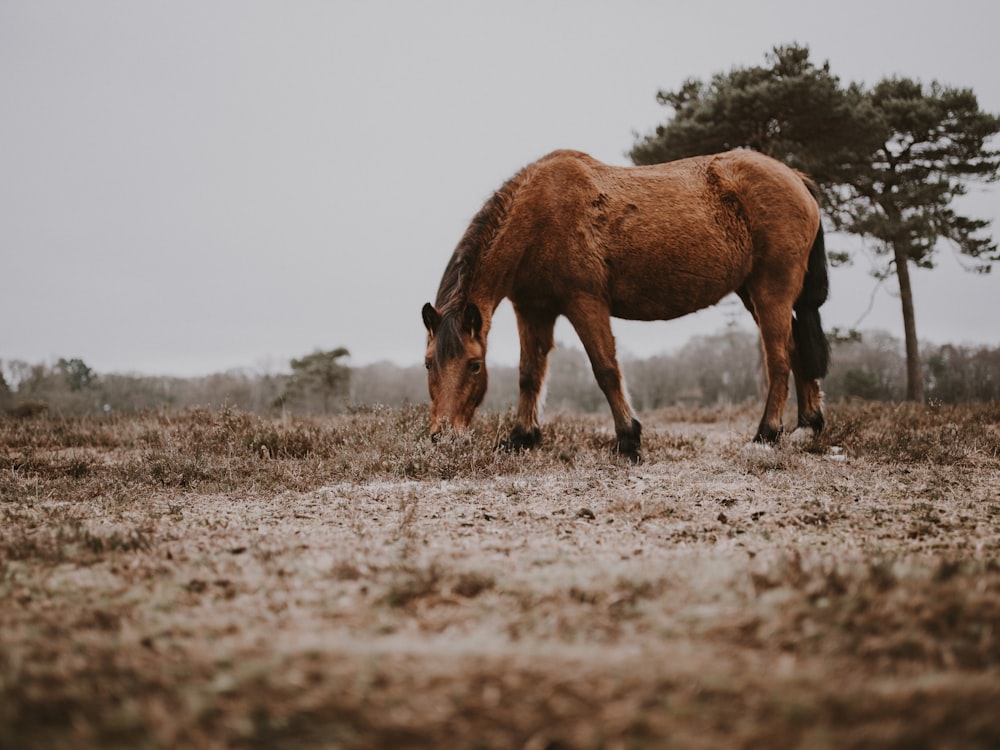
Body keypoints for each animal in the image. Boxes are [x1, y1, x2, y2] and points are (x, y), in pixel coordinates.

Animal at [420, 149, 828, 462]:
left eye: (474, 365)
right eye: (428, 364)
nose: (443, 436)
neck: (539, 215)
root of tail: (794, 177)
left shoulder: (585, 302)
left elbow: (605, 370)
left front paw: (628, 439)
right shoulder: (533, 310)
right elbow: (529, 374)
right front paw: (521, 437)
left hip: (771, 289)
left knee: (778, 359)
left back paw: (767, 433)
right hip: (753, 293)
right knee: (795, 350)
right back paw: (808, 425)